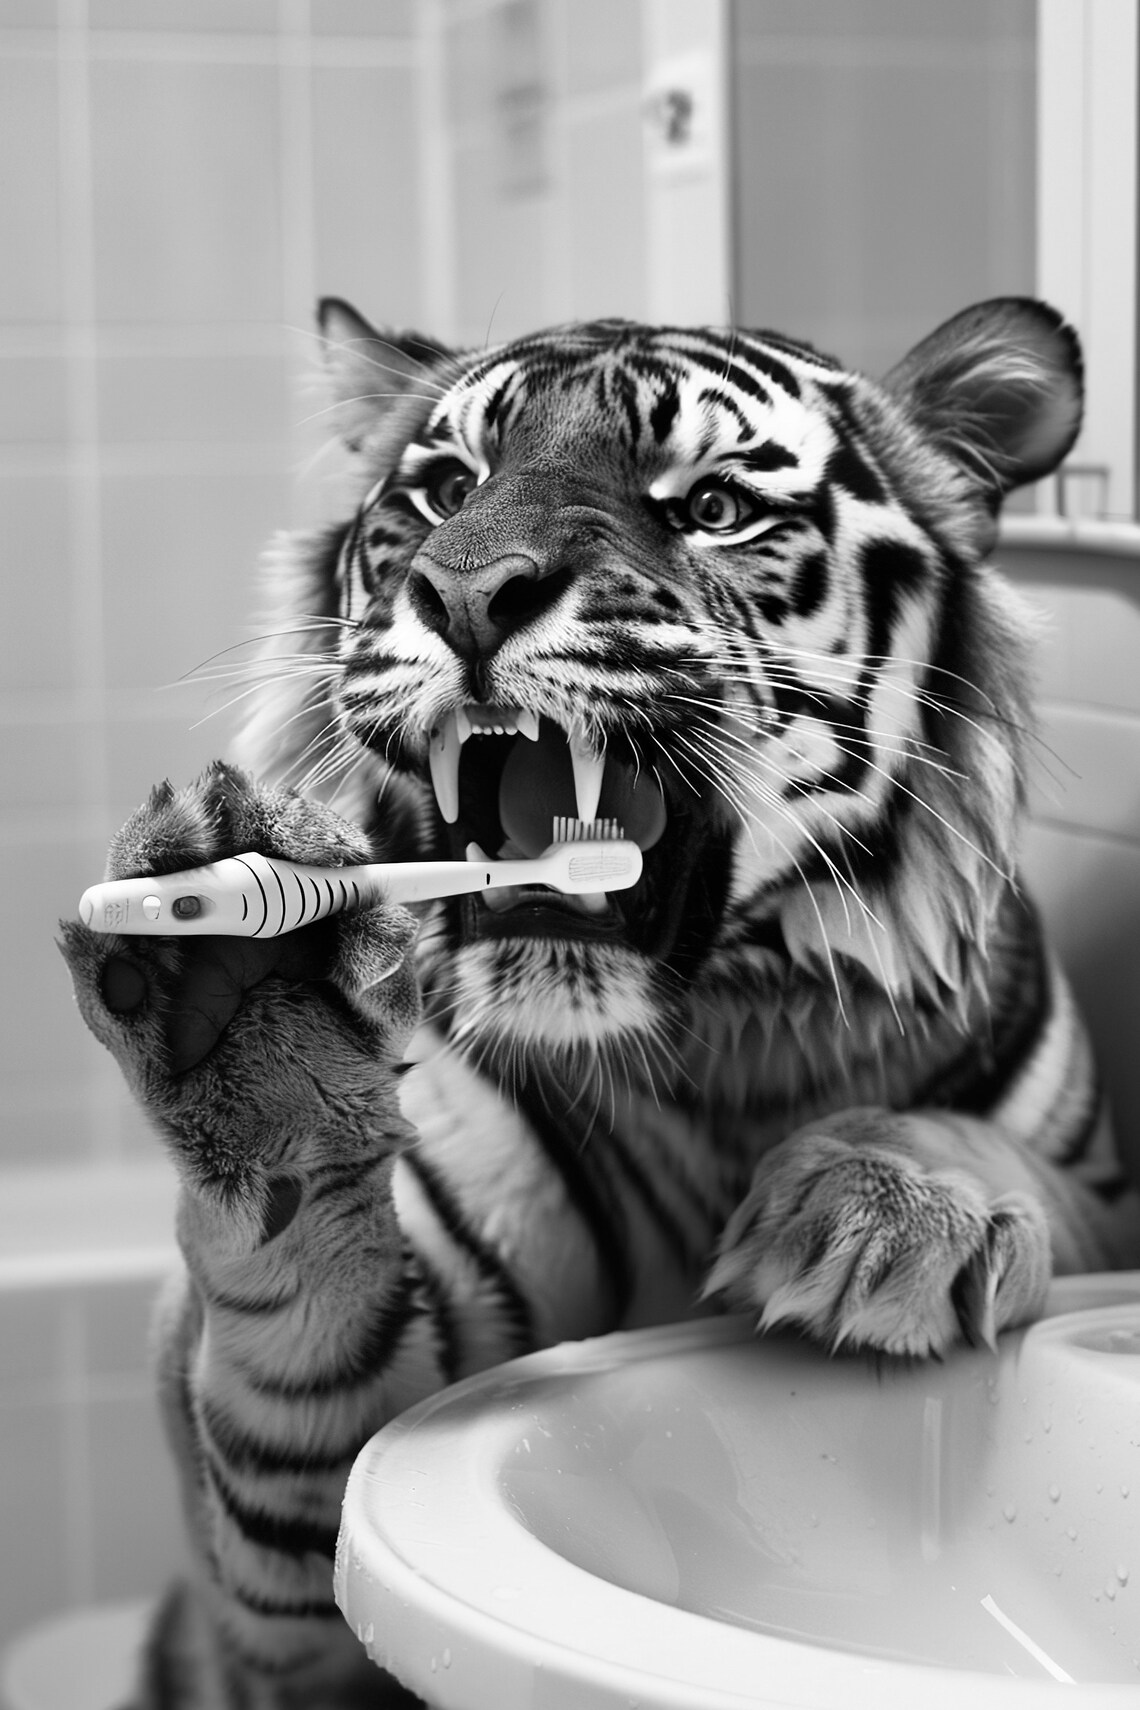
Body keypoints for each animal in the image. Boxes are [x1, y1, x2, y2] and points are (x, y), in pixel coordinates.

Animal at [61, 294, 1140, 1709]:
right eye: (447, 490)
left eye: (712, 505)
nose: (468, 592)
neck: (734, 1043)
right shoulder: (317, 1578)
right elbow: (305, 1351)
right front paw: (259, 1016)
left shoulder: (1109, 1202)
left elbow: (1006, 1166)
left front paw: (888, 1207)